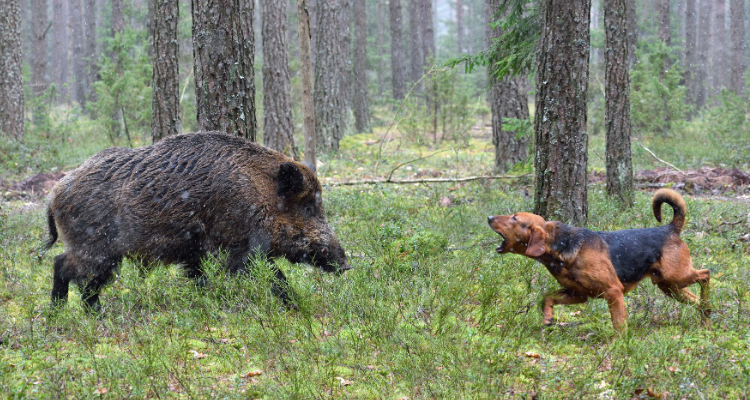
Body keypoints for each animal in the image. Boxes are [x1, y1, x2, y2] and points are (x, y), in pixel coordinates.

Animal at [490, 189, 712, 330]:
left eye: (515, 218)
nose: (489, 217)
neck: (561, 247)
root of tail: (670, 228)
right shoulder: (577, 294)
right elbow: (547, 297)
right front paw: (547, 317)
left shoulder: (613, 291)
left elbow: (619, 324)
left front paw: (620, 346)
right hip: (669, 286)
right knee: (697, 299)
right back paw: (706, 320)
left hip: (676, 276)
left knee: (706, 274)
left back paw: (707, 309)